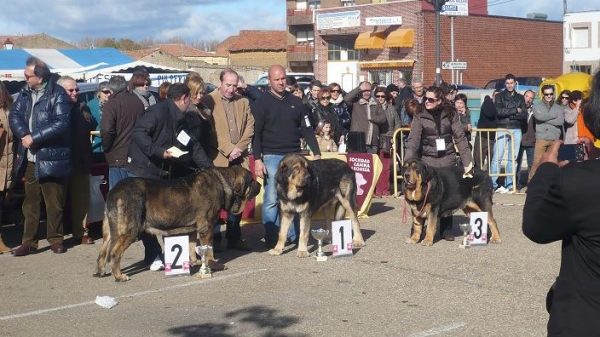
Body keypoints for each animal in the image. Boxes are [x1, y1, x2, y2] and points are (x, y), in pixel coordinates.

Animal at [93, 166, 260, 280]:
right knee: (114, 253)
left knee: (102, 252)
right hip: (129, 230)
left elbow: (192, 246)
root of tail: (114, 191)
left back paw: (100, 272)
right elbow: (209, 250)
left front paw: (195, 262)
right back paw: (119, 276)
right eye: (251, 180)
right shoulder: (207, 227)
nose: (260, 184)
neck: (223, 183)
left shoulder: (194, 229)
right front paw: (213, 264)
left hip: (109, 230)